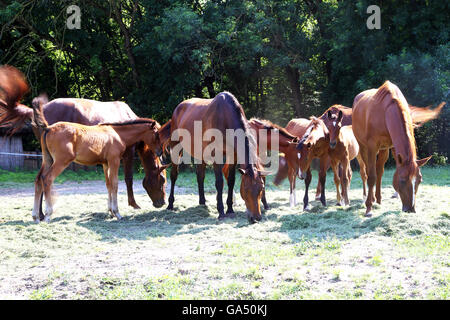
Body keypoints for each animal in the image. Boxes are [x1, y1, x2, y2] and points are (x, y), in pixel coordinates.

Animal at [0, 65, 167, 210]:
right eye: (163, 180)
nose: (162, 203)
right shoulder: (128, 154)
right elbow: (128, 178)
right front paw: (133, 204)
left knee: (41, 179)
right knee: (46, 180)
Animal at [29, 96, 162, 224]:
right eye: (156, 134)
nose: (160, 151)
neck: (117, 133)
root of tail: (48, 128)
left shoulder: (105, 163)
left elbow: (108, 184)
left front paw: (111, 211)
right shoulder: (115, 160)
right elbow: (115, 184)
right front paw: (117, 213)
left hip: (48, 160)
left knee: (38, 180)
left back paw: (36, 216)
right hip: (61, 161)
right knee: (47, 179)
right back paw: (47, 215)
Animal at [161, 92, 268, 222]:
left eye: (261, 189)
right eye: (246, 189)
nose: (256, 218)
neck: (226, 117)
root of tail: (178, 108)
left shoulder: (233, 156)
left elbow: (231, 181)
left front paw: (230, 209)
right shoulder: (217, 156)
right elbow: (219, 182)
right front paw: (221, 211)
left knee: (200, 176)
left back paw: (202, 202)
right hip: (176, 148)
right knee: (174, 175)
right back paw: (170, 204)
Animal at [354, 80, 444, 216]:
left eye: (420, 180)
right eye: (402, 180)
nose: (411, 209)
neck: (386, 112)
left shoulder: (393, 147)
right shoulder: (371, 148)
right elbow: (371, 176)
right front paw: (369, 208)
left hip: (384, 149)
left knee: (379, 170)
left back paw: (378, 198)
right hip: (363, 147)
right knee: (366, 172)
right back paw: (369, 198)